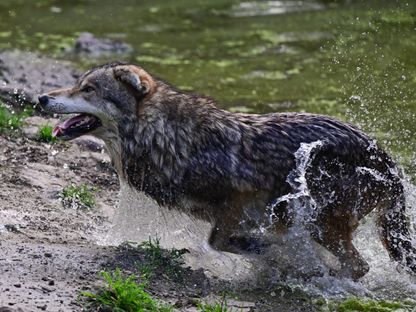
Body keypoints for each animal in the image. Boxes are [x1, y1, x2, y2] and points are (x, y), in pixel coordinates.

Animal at [37, 62, 414, 280]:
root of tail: (386, 159)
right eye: (77, 84)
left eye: (88, 89)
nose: (41, 97)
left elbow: (220, 241)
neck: (165, 135)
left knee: (359, 267)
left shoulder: (243, 202)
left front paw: (272, 254)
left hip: (323, 223)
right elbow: (223, 241)